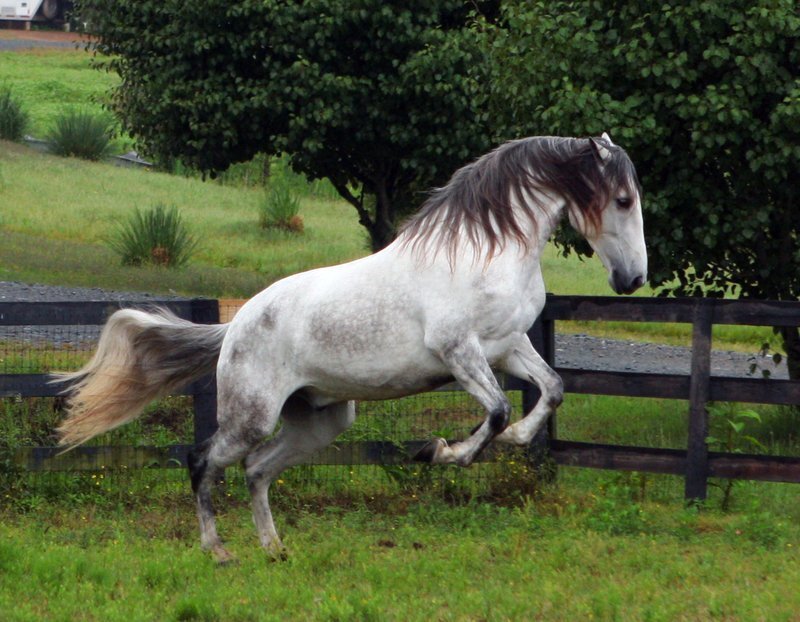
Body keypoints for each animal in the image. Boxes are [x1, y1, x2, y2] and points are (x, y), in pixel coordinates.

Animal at [55, 133, 647, 563]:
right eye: (622, 199)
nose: (633, 279)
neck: (483, 252)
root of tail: (236, 325)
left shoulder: (508, 347)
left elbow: (552, 390)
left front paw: (509, 441)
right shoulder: (460, 352)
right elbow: (499, 410)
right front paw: (438, 452)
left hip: (322, 421)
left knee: (257, 471)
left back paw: (275, 549)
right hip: (252, 416)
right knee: (203, 461)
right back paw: (219, 551)